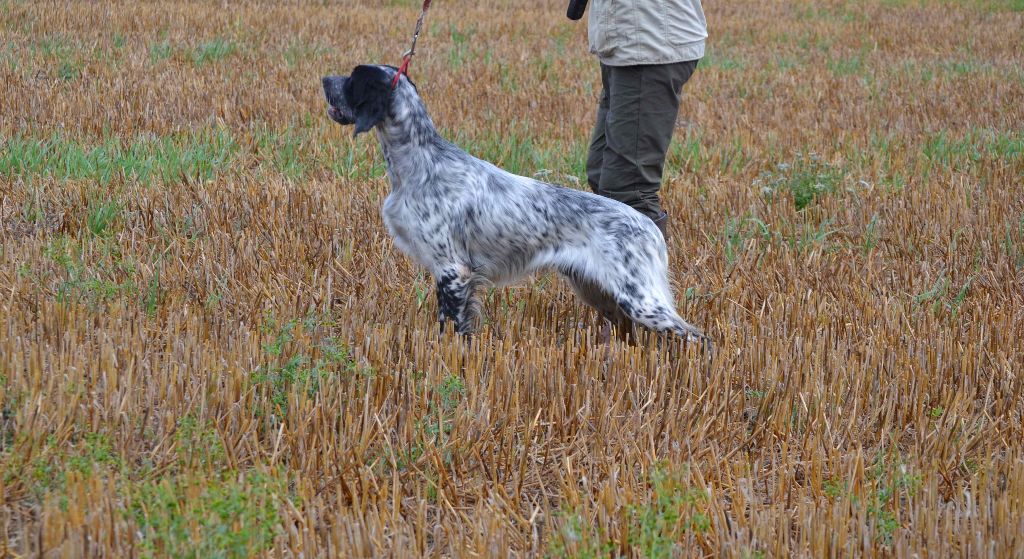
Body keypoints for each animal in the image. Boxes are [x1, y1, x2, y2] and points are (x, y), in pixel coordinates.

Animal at [323, 64, 708, 344]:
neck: (421, 161)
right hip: (600, 290)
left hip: (640, 297)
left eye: (353, 79)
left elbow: (450, 327)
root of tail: (648, 227)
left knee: (699, 338)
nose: (325, 79)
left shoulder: (452, 270)